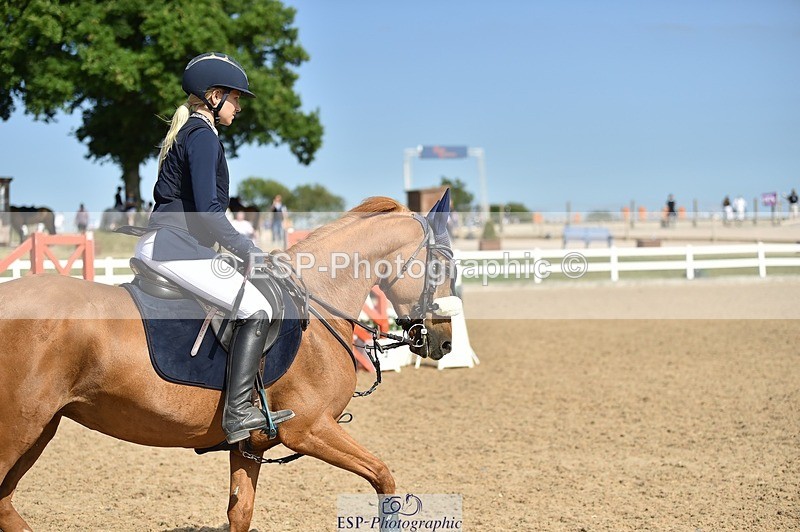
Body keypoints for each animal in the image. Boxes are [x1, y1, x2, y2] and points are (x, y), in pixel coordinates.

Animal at [0, 194, 459, 531]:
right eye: (441, 267)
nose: (444, 341)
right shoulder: (310, 428)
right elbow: (382, 476)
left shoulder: (249, 445)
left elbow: (240, 511)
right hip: (20, 427)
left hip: (42, 427)